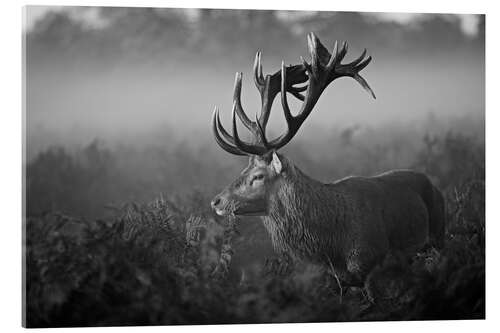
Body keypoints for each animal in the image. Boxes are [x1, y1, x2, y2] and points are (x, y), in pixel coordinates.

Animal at [209, 32, 444, 290]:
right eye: (244, 169)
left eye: (258, 176)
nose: (216, 201)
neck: (335, 246)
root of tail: (434, 185)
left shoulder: (371, 264)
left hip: (440, 236)